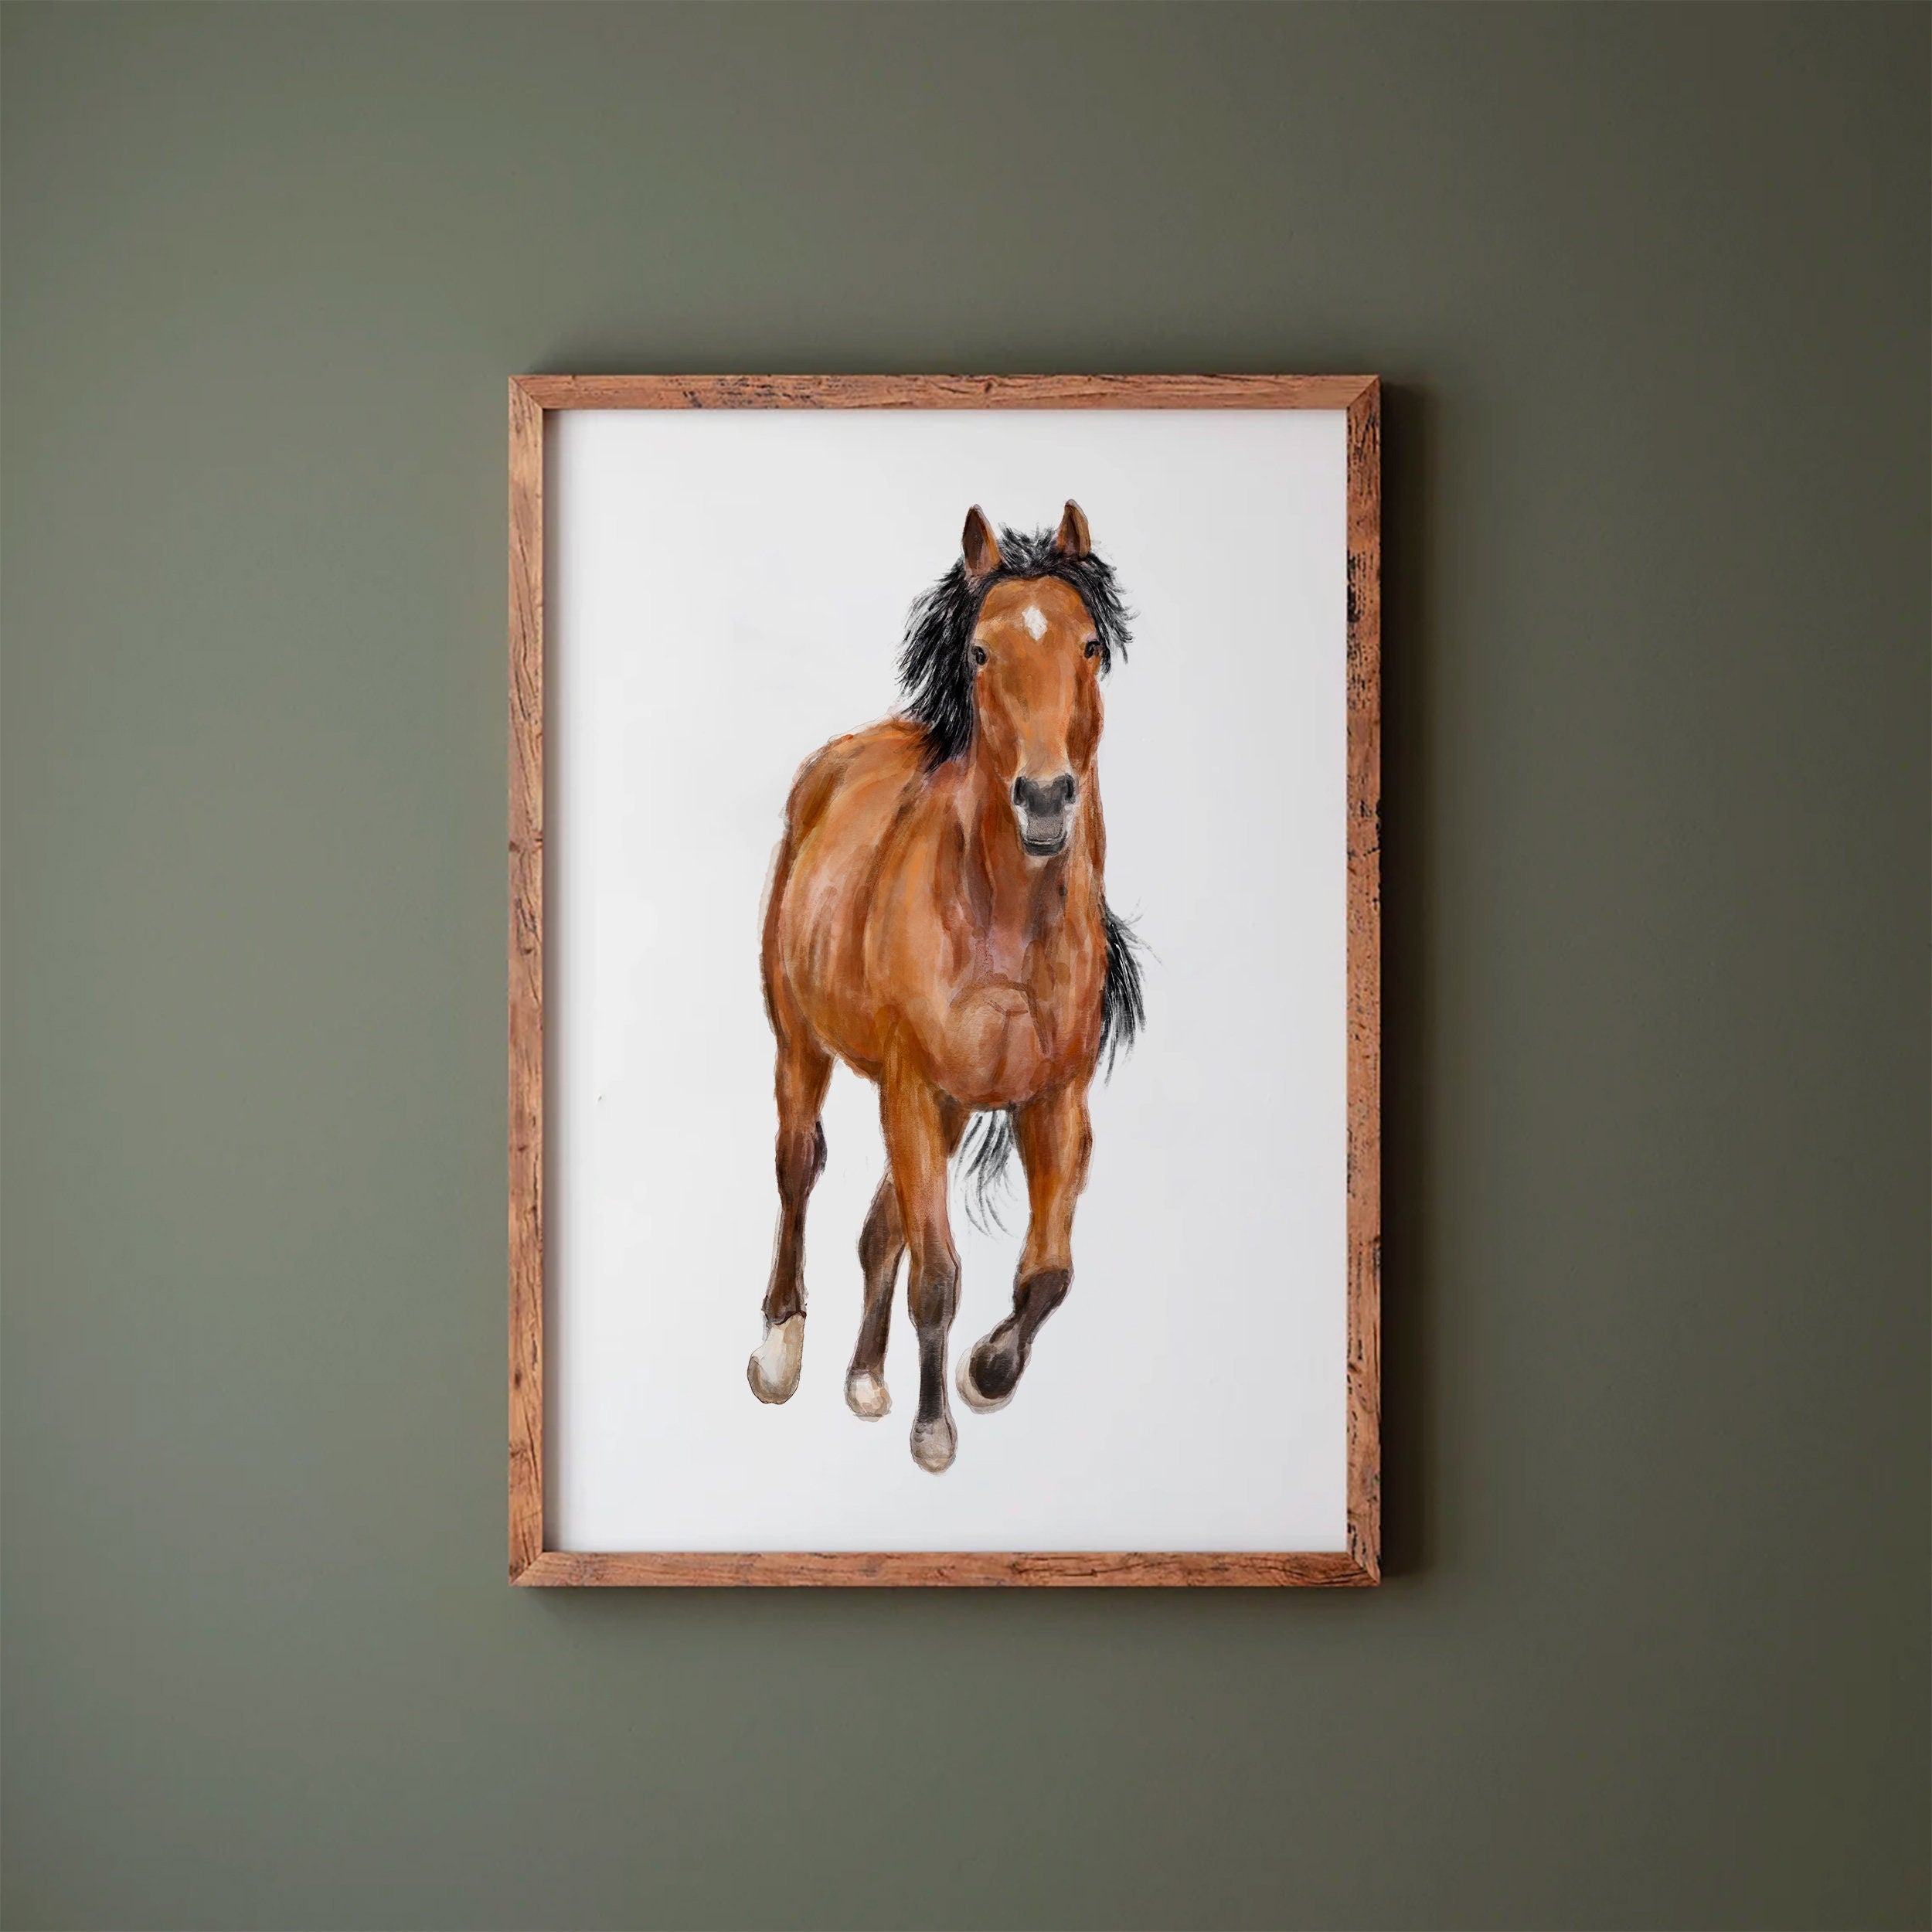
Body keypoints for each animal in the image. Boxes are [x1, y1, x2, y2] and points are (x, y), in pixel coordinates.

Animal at [749, 500, 1144, 1473]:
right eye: (980, 652)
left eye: (1089, 645)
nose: (1045, 798)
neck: (1005, 921)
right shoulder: (909, 1081)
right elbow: (936, 1275)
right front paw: (935, 1428)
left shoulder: (1053, 1096)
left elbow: (1046, 1273)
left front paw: (984, 1372)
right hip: (803, 1041)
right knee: (797, 1164)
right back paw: (779, 1347)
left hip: (952, 1103)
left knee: (879, 1224)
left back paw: (863, 1377)